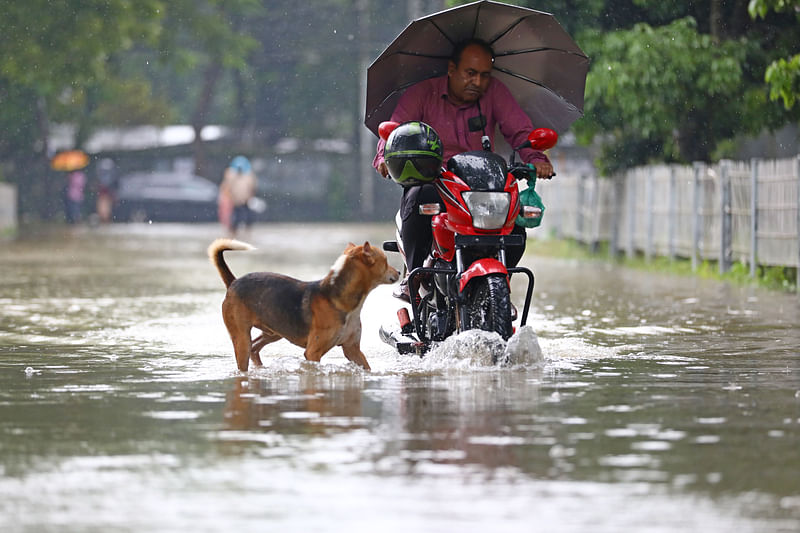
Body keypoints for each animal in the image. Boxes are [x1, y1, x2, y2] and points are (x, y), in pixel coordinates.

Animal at [208, 239, 398, 372]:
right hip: (242, 339)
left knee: (255, 348)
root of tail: (233, 282)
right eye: (385, 261)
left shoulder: (353, 350)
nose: (398, 271)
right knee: (248, 352)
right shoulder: (313, 353)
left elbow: (367, 367)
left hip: (274, 332)